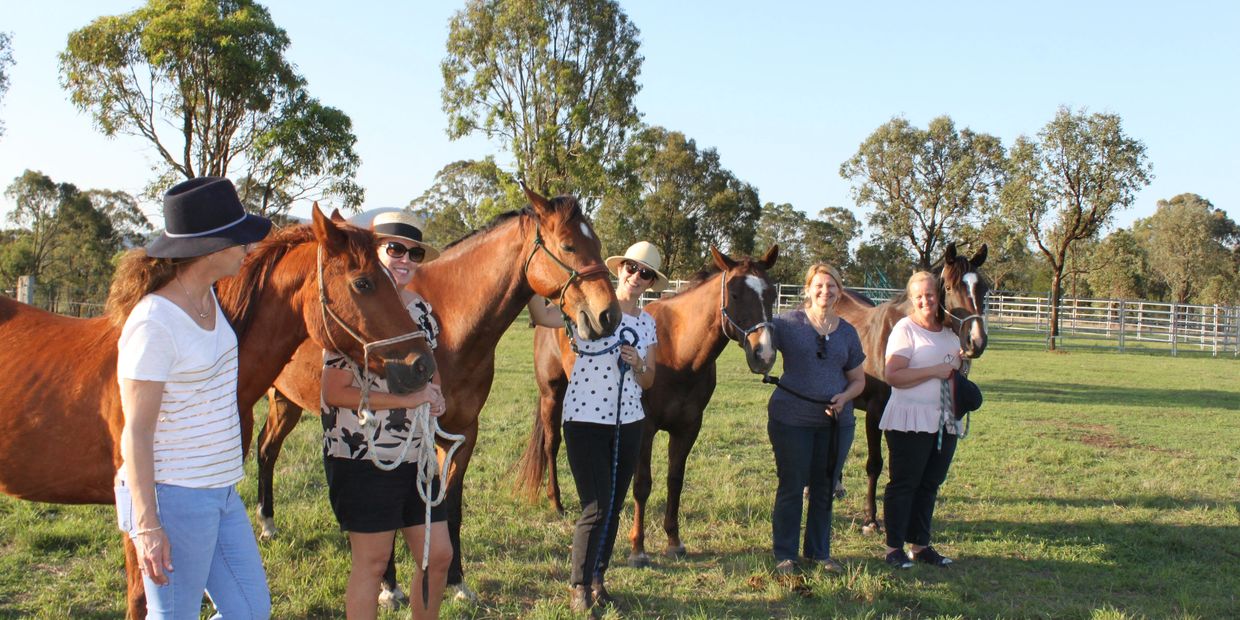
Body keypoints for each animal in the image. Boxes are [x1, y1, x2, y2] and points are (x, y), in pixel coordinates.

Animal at [250, 187, 620, 600]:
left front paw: (457, 581)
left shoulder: (462, 432)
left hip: (286, 402)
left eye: (597, 244)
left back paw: (268, 522)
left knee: (266, 449)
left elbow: (450, 506)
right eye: (569, 245)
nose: (609, 316)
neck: (451, 321)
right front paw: (389, 585)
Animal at [518, 244, 778, 565]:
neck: (678, 351)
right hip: (552, 395)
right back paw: (556, 503)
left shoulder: (688, 427)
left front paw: (674, 541)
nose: (764, 354)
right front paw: (638, 548)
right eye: (736, 293)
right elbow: (642, 485)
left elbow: (675, 480)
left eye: (771, 294)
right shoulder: (645, 428)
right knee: (551, 445)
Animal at [838, 241, 992, 533]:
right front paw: (871, 519)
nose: (976, 341)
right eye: (951, 287)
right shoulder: (876, 412)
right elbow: (875, 464)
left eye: (983, 288)